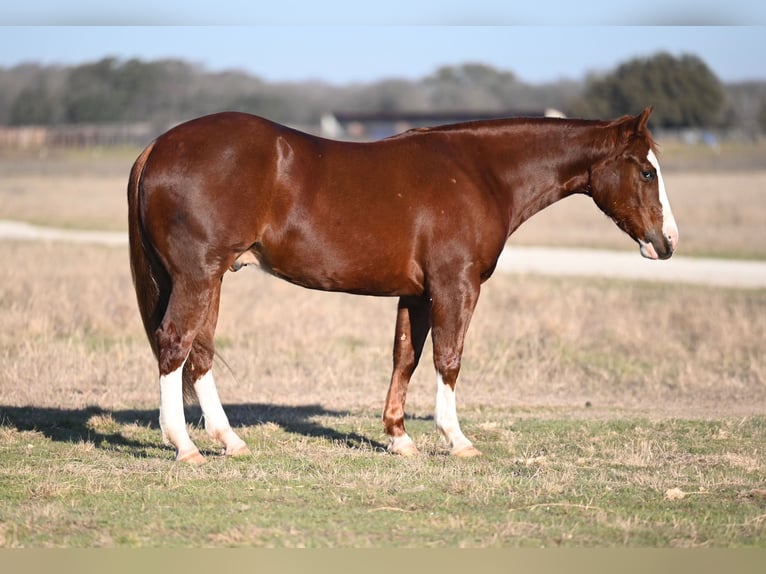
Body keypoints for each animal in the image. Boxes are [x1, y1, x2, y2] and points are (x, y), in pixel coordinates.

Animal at [129, 106, 680, 464]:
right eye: (647, 172)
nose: (668, 242)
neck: (479, 172)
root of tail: (157, 146)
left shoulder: (416, 293)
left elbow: (405, 358)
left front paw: (399, 438)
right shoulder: (456, 285)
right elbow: (448, 359)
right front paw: (456, 440)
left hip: (211, 278)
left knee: (199, 354)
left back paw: (229, 440)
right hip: (197, 276)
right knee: (174, 344)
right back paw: (185, 447)